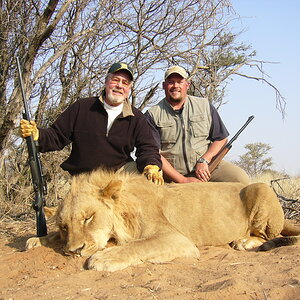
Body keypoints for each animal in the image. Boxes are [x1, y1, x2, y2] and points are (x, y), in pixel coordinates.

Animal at [25, 169, 300, 272]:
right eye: (64, 226)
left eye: (88, 218)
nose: (74, 251)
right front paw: (37, 240)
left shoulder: (177, 238)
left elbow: (139, 245)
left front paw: (103, 259)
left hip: (261, 189)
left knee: (269, 235)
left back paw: (244, 241)